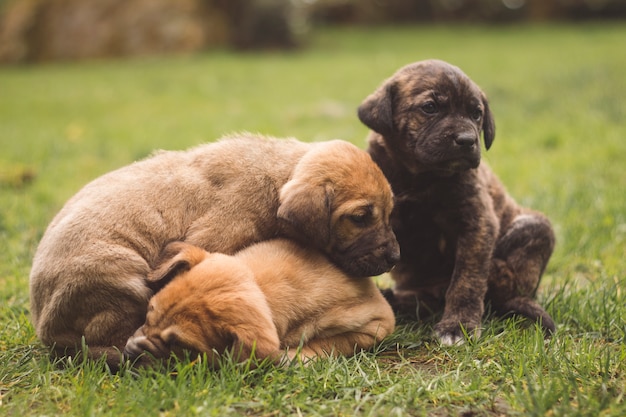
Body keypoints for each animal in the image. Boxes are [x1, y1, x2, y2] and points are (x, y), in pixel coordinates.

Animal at [123, 239, 394, 366]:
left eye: (178, 345)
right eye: (148, 314)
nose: (129, 354)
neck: (263, 287)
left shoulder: (376, 322)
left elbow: (333, 343)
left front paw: (296, 356)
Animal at [358, 59, 552, 344]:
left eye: (476, 114)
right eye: (430, 108)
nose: (467, 140)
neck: (419, 175)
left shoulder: (477, 222)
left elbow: (467, 279)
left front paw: (458, 326)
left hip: (533, 226)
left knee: (506, 291)